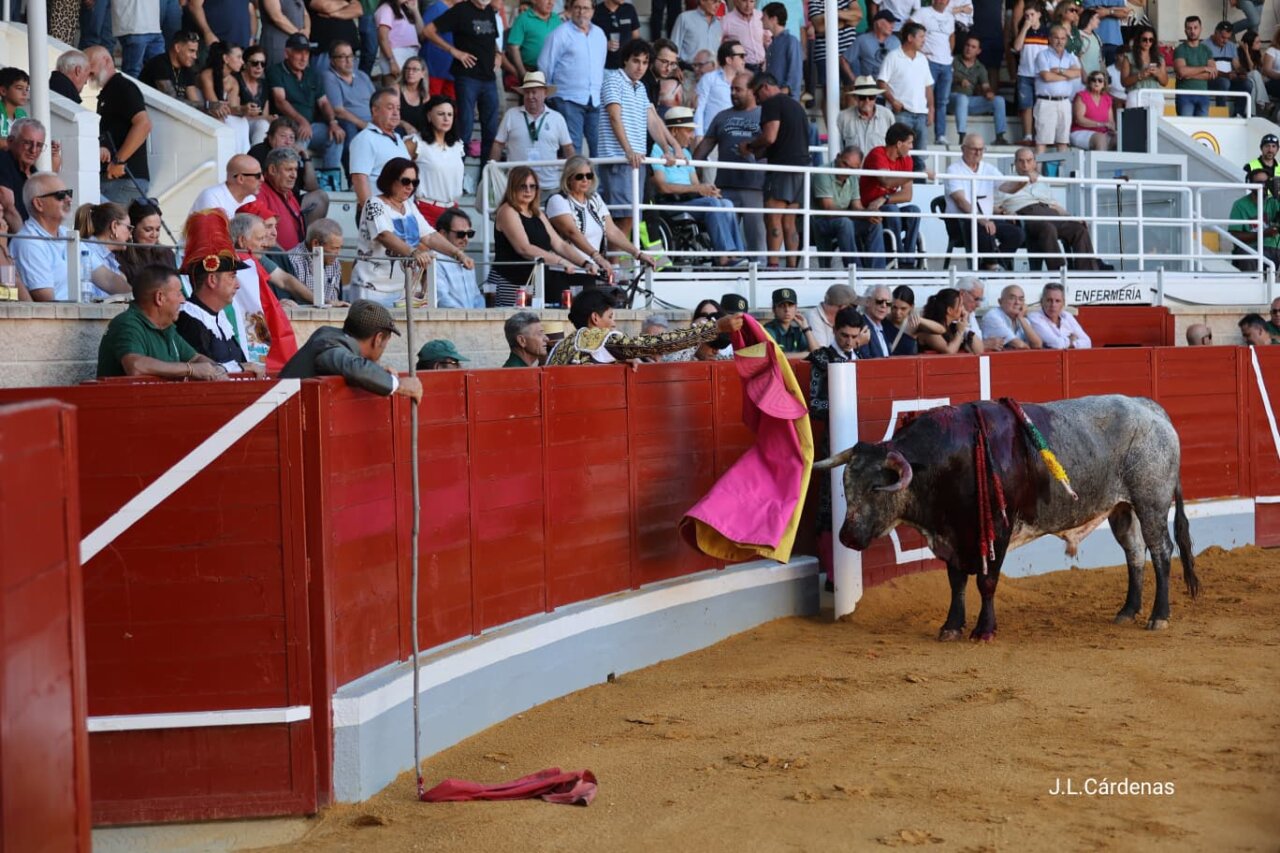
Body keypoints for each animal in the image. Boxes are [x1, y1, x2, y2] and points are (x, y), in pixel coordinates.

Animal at [814, 395, 1200, 641]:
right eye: (846, 487)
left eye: (876, 489)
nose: (847, 537)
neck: (948, 462)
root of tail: (1150, 408)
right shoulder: (952, 535)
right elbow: (956, 581)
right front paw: (951, 626)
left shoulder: (996, 531)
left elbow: (986, 582)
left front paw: (983, 630)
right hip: (1121, 508)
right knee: (1134, 552)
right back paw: (1127, 611)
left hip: (1151, 501)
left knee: (1161, 551)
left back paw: (1158, 616)